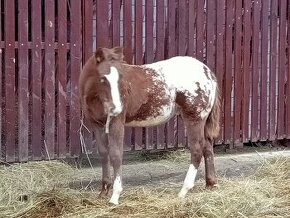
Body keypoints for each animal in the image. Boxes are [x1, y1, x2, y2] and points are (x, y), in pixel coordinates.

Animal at [78, 46, 221, 205]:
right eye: (103, 78)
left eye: (121, 79)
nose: (116, 108)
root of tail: (208, 74)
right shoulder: (97, 124)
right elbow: (103, 153)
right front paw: (103, 191)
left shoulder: (116, 121)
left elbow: (115, 154)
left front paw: (115, 196)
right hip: (201, 119)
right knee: (207, 147)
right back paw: (210, 184)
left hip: (194, 117)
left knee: (197, 149)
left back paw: (183, 190)